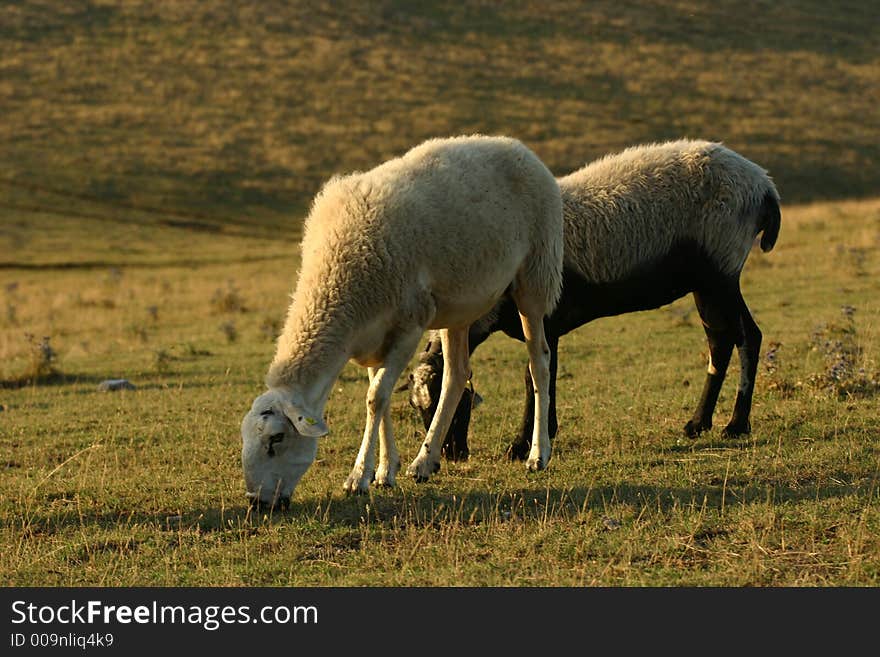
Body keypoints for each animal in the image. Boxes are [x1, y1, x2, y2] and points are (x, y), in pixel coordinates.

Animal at [239, 135, 564, 508]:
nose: (256, 502)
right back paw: (425, 461)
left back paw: (537, 454)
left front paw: (358, 477)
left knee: (539, 362)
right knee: (456, 375)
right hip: (459, 307)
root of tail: (516, 145)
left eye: (276, 439)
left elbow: (375, 398)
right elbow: (380, 399)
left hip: (535, 276)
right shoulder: (372, 336)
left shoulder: (408, 327)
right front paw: (384, 471)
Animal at [410, 138, 780, 458]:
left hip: (722, 271)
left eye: (456, 399)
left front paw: (524, 444)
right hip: (707, 282)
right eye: (418, 407)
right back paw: (699, 423)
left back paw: (736, 425)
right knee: (721, 341)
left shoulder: (547, 319)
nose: (452, 454)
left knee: (747, 337)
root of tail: (764, 185)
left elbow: (535, 374)